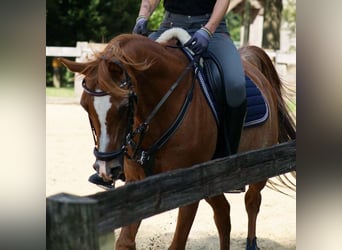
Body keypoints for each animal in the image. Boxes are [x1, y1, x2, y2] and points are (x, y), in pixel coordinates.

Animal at [60, 29, 294, 250]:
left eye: (125, 105)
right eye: (85, 105)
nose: (105, 168)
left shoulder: (190, 188)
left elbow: (177, 244)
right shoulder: (137, 185)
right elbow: (125, 242)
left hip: (258, 167)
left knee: (252, 202)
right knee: (223, 213)